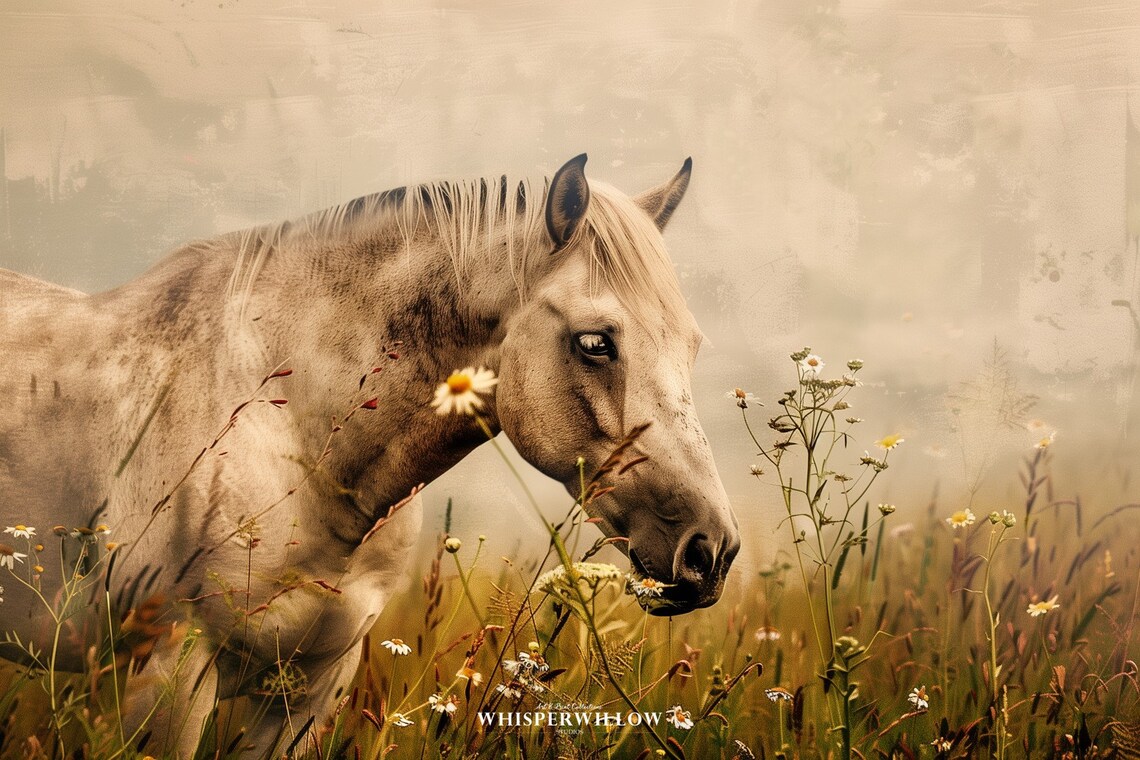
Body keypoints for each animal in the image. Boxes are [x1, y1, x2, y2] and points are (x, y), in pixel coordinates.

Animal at [0, 154, 740, 756]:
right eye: (595, 343)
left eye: (693, 344)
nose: (711, 552)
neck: (292, 437)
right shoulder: (168, 676)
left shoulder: (313, 688)